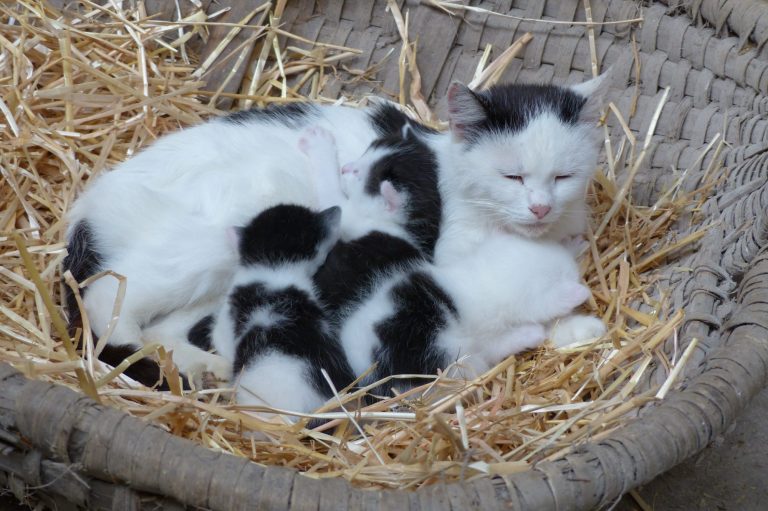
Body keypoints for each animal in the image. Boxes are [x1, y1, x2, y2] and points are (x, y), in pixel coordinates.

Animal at [63, 74, 608, 382]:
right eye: (511, 176)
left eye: (564, 177)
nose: (540, 208)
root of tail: (88, 204)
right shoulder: (448, 264)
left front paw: (577, 322)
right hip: (204, 244)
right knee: (107, 302)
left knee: (175, 326)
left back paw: (205, 367)